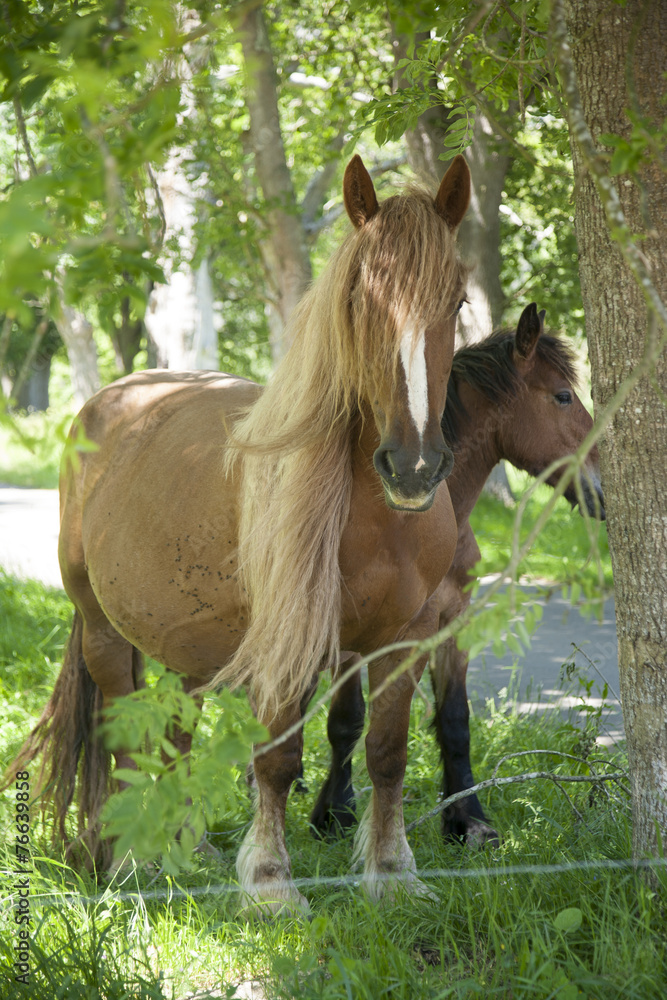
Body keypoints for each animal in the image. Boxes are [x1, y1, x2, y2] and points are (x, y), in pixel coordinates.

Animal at [8, 153, 472, 915]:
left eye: (458, 301)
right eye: (359, 298)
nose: (413, 467)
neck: (378, 519)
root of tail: (109, 401)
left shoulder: (405, 640)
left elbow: (387, 753)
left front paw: (392, 876)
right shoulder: (286, 647)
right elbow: (277, 761)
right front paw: (271, 884)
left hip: (185, 647)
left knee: (175, 734)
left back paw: (184, 846)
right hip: (102, 629)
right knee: (125, 731)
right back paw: (130, 859)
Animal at [309, 302, 605, 847]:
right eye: (563, 396)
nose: (602, 491)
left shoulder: (451, 622)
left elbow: (454, 718)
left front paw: (468, 818)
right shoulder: (357, 633)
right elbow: (347, 719)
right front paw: (334, 813)